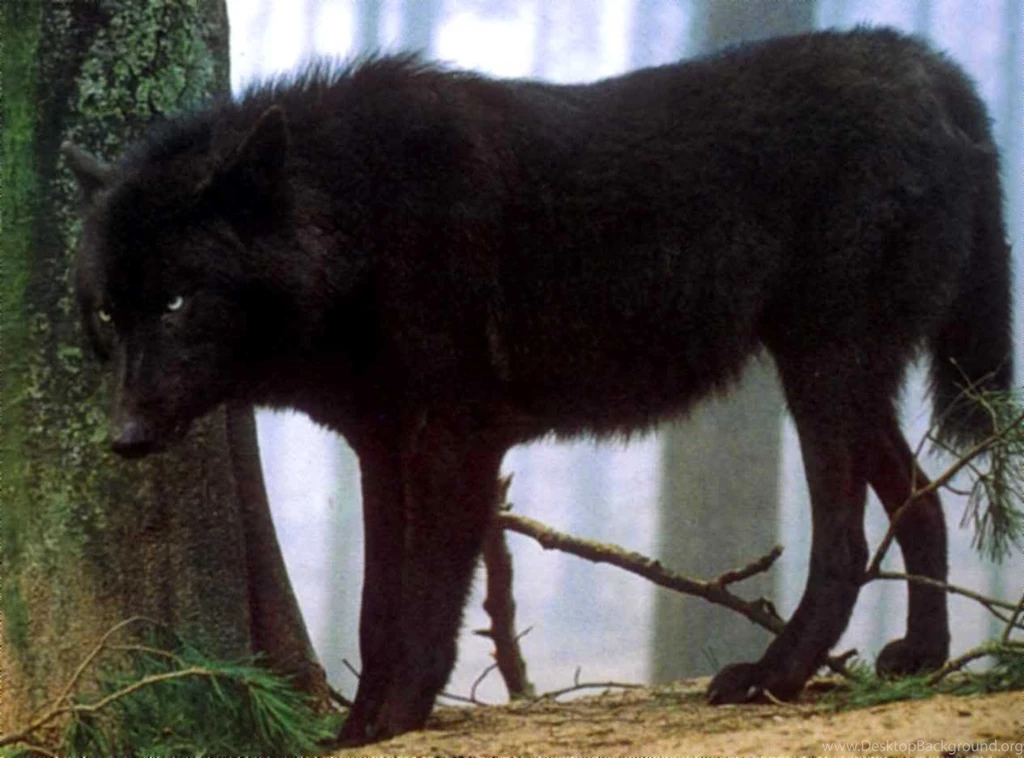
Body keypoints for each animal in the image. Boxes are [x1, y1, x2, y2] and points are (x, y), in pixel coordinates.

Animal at [64, 27, 1012, 744]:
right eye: (110, 311)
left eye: (179, 300)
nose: (123, 438)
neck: (359, 217)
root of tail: (928, 65)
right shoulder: (381, 449)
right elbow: (376, 607)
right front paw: (357, 728)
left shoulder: (453, 443)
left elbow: (425, 603)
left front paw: (398, 719)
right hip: (842, 380)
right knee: (924, 497)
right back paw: (922, 658)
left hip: (821, 371)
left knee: (847, 541)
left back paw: (772, 676)